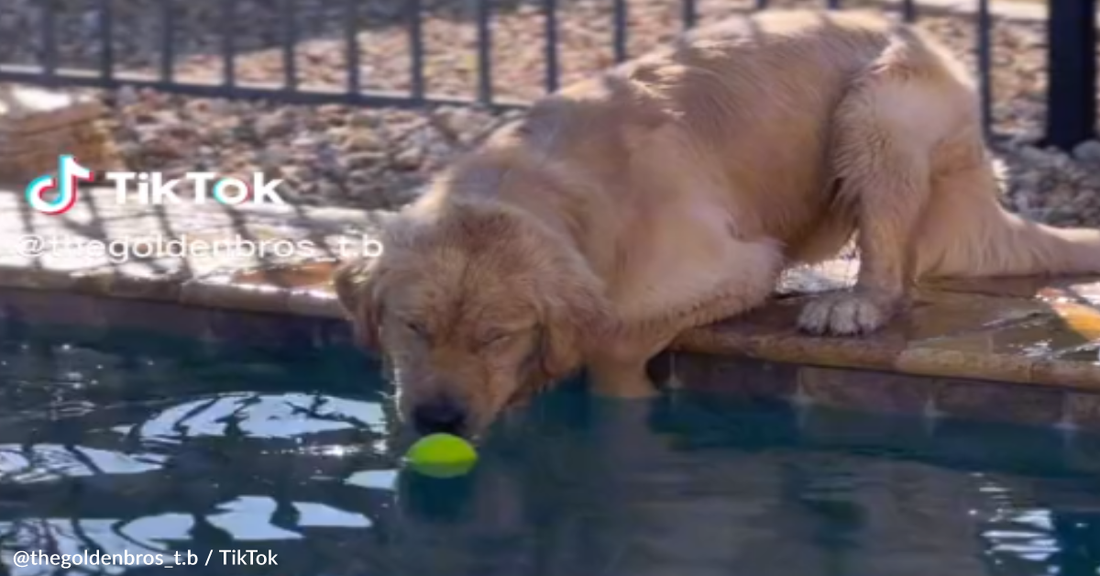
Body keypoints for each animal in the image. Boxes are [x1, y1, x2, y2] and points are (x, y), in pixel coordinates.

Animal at [332, 9, 1100, 439]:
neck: (532, 181)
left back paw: (851, 303)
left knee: (893, 271)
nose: (438, 421)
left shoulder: (735, 264)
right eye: (412, 327)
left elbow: (612, 338)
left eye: (496, 336)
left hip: (878, 103)